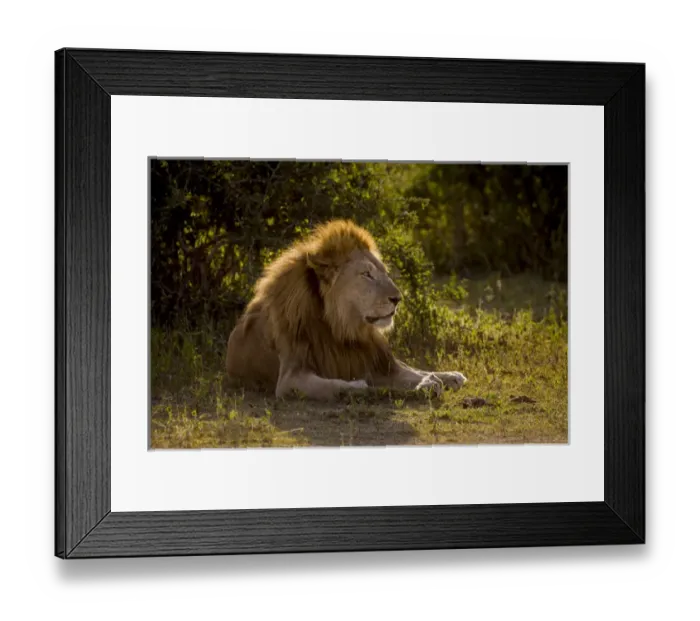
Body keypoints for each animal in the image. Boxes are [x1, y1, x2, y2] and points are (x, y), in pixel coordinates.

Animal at [225, 219, 467, 400]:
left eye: (384, 272)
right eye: (367, 274)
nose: (397, 299)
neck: (340, 328)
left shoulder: (372, 361)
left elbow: (409, 374)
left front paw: (430, 383)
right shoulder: (289, 378)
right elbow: (334, 385)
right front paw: (359, 386)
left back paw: (452, 376)